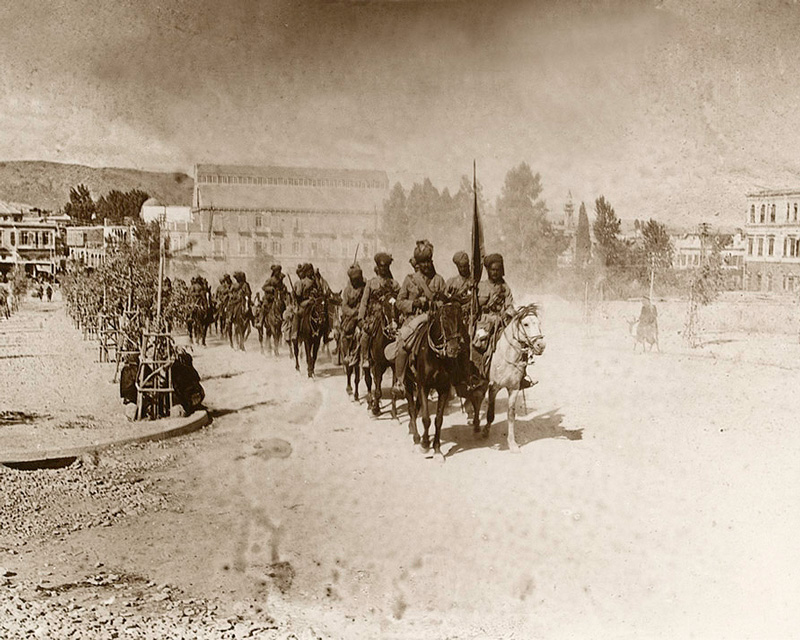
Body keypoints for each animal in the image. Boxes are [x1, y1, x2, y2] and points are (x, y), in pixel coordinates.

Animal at [404, 302, 466, 462]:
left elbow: (439, 420)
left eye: (461, 318)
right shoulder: (424, 387)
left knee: (417, 407)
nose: (454, 349)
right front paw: (425, 445)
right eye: (444, 319)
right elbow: (426, 418)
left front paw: (437, 449)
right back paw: (416, 438)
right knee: (412, 409)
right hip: (407, 383)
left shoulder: (443, 389)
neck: (436, 357)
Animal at [466, 304, 548, 450]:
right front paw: (486, 432)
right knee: (478, 398)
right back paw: (476, 424)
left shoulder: (514, 389)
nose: (541, 345)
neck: (508, 355)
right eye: (526, 324)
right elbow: (490, 414)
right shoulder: (494, 387)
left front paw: (512, 443)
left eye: (538, 323)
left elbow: (511, 415)